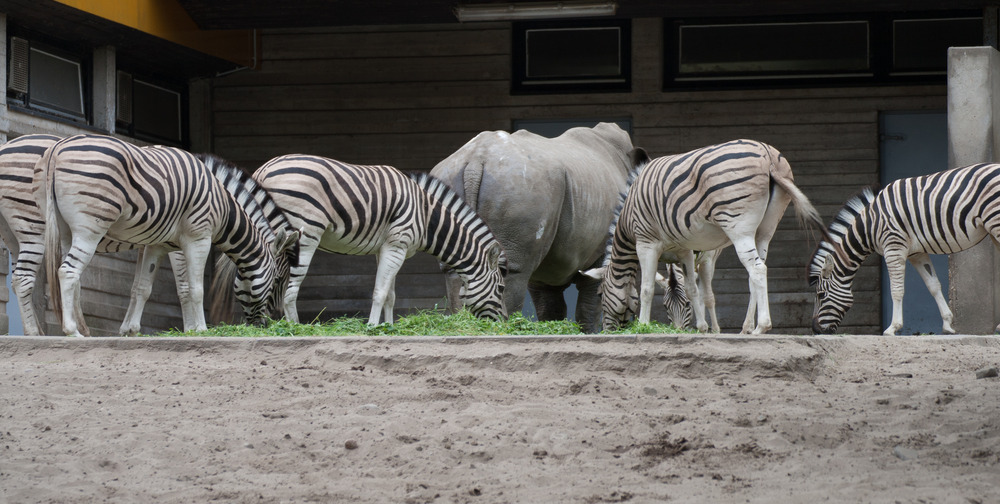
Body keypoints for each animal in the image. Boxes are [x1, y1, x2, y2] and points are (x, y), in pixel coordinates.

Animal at [38, 136, 296, 336]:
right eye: (277, 280)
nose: (267, 324)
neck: (222, 204)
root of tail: (57, 149)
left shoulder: (154, 244)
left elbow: (141, 287)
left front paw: (130, 329)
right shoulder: (196, 238)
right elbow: (192, 287)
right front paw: (197, 329)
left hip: (64, 231)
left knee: (68, 277)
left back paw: (79, 329)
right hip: (88, 228)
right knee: (65, 272)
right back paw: (72, 331)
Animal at [242, 155, 508, 326]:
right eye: (501, 289)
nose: (505, 322)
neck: (425, 216)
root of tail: (265, 168)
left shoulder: (387, 248)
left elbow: (390, 295)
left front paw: (389, 327)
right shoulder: (397, 245)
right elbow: (379, 292)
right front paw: (372, 327)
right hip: (304, 234)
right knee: (289, 290)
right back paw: (295, 329)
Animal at [584, 139, 824, 334]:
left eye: (600, 295)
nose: (607, 331)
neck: (627, 221)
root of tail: (768, 156)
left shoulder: (646, 242)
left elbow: (647, 288)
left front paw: (643, 326)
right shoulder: (684, 249)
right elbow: (692, 289)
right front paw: (701, 327)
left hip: (739, 227)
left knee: (757, 269)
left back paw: (761, 327)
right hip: (765, 230)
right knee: (755, 273)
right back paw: (748, 327)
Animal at [808, 163, 1000, 334]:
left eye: (821, 295)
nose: (816, 330)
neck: (870, 225)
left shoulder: (893, 247)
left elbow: (897, 289)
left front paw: (893, 328)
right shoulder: (917, 253)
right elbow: (933, 285)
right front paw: (947, 324)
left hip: (995, 222)